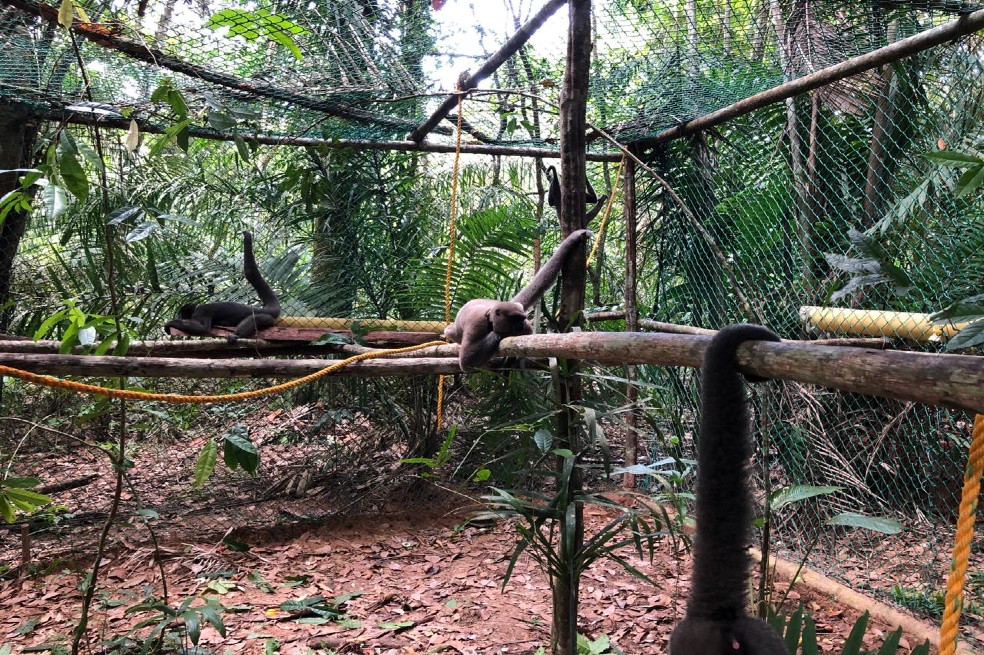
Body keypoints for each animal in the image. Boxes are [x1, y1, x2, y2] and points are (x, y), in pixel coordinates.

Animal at [444, 228, 591, 371]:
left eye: (521, 319)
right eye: (514, 319)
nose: (520, 325)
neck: (490, 315)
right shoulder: (476, 324)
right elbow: (467, 362)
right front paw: (504, 333)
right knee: (450, 331)